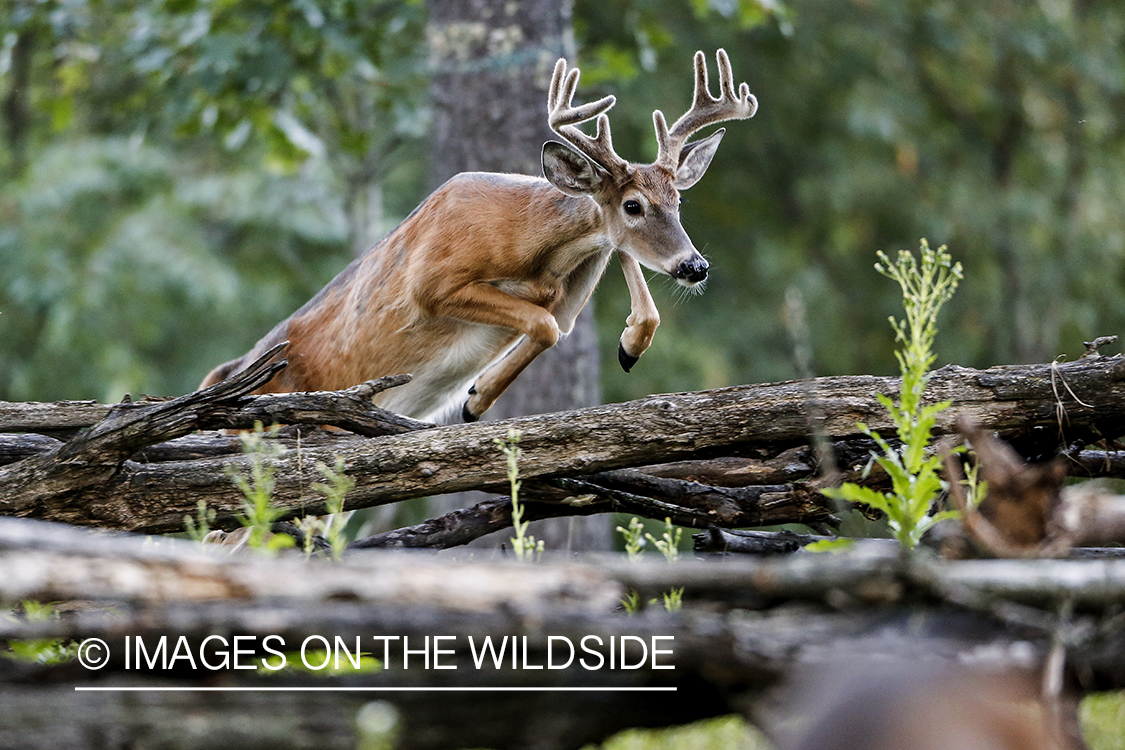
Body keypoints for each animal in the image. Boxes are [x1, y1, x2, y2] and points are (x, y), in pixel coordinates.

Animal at [207, 48, 760, 422]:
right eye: (632, 205)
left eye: (678, 203)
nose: (694, 266)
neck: (532, 253)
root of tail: (224, 374)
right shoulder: (431, 283)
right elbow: (544, 324)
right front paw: (475, 400)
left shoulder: (574, 288)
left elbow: (583, 313)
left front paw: (628, 345)